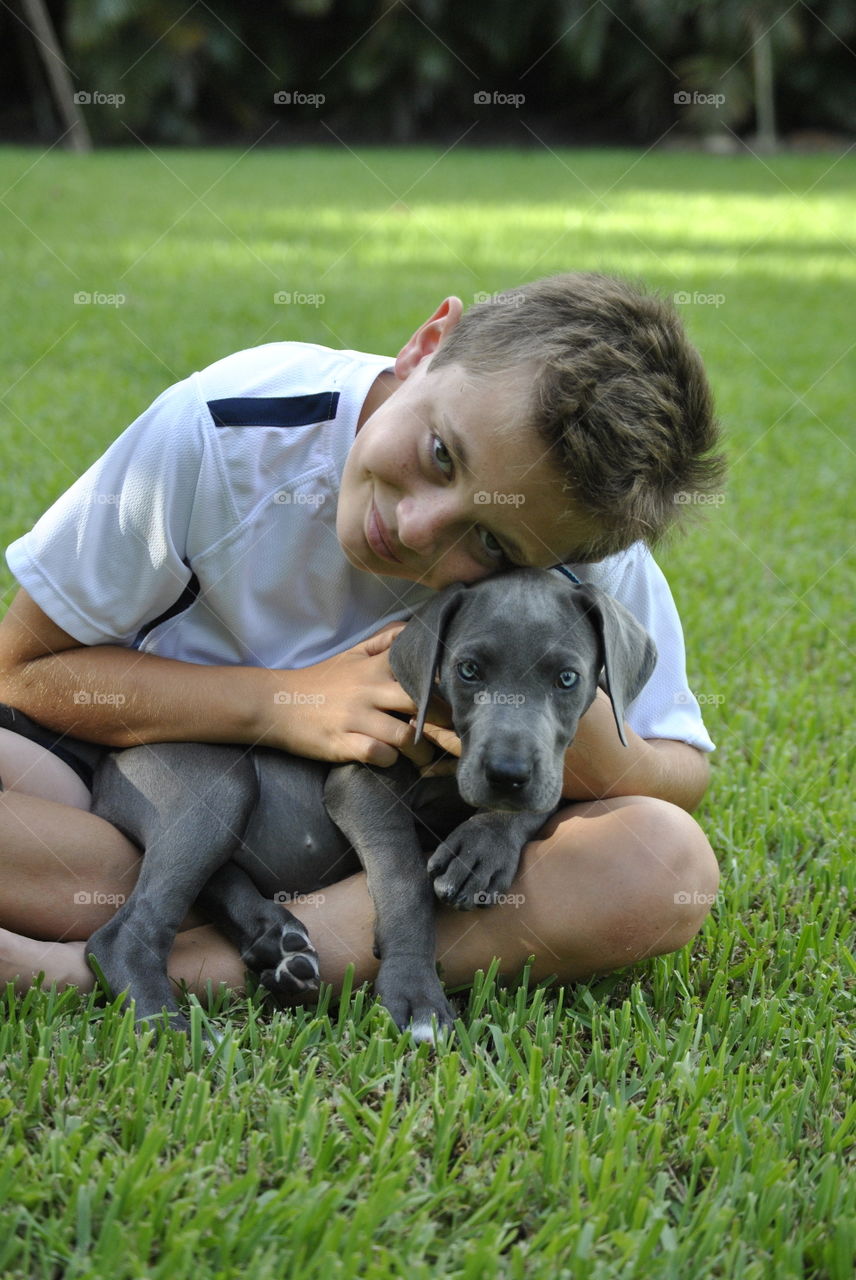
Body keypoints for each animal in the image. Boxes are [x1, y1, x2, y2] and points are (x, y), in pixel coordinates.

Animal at [87, 570, 655, 1039]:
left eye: (567, 678)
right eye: (468, 670)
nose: (507, 775)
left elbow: (543, 797)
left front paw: (481, 848)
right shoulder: (359, 779)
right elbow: (403, 877)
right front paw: (415, 993)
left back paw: (275, 943)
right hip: (213, 784)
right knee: (126, 932)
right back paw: (169, 1027)